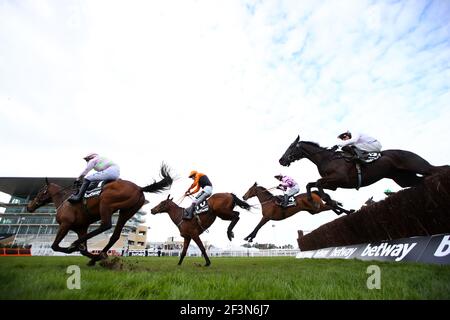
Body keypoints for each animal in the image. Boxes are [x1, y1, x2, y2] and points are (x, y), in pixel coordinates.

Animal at [27, 162, 173, 264]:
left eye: (41, 191)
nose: (29, 207)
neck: (64, 200)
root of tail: (139, 188)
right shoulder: (81, 228)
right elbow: (84, 250)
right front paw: (92, 256)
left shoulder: (65, 224)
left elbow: (55, 246)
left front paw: (73, 248)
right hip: (126, 212)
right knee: (114, 235)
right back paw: (97, 256)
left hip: (106, 203)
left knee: (105, 225)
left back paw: (77, 244)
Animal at [280, 136, 448, 204]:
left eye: (290, 147)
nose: (281, 160)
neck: (327, 158)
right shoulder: (334, 185)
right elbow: (311, 184)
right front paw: (314, 199)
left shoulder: (340, 178)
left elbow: (318, 183)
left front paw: (329, 200)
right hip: (403, 178)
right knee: (422, 180)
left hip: (417, 165)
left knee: (439, 169)